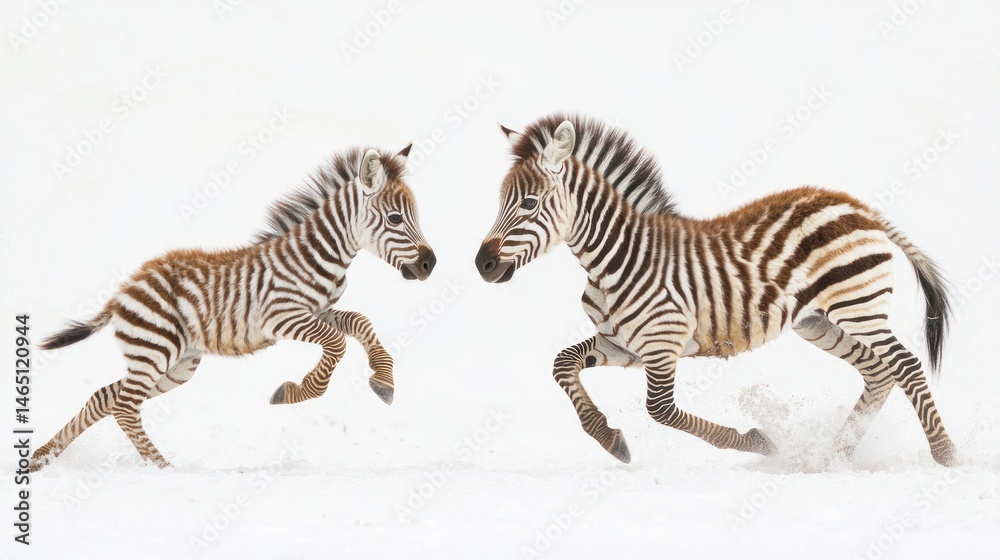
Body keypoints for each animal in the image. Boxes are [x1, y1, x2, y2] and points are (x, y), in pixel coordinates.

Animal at [32, 145, 436, 471]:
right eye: (396, 218)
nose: (430, 264)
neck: (318, 257)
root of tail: (123, 291)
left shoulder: (319, 311)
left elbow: (360, 322)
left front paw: (383, 380)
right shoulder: (281, 316)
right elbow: (336, 344)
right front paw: (294, 391)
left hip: (176, 363)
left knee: (105, 397)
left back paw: (42, 458)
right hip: (156, 349)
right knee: (125, 407)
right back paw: (162, 470)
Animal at [476, 113, 956, 467]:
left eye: (529, 203)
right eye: (501, 202)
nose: (482, 265)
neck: (615, 260)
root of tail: (858, 206)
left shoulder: (662, 344)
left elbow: (660, 410)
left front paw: (760, 443)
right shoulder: (624, 346)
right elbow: (563, 363)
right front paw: (608, 437)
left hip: (858, 306)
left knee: (906, 366)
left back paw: (946, 455)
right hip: (817, 322)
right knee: (878, 372)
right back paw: (827, 458)